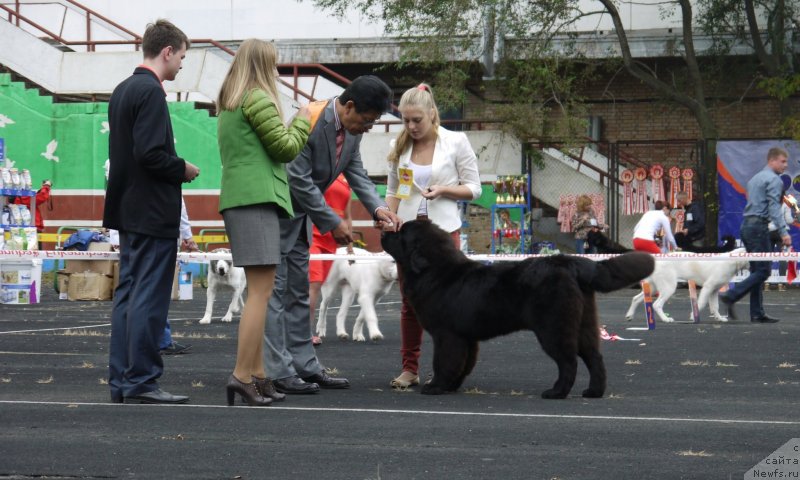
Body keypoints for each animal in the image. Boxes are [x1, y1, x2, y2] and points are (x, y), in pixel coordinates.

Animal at [382, 222, 656, 402]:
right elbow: (463, 363)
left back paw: (556, 392)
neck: (434, 271)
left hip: (553, 328)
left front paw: (436, 386)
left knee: (568, 361)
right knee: (594, 357)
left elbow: (444, 361)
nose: (383, 230)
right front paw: (451, 386)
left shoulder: (446, 335)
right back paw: (593, 392)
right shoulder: (466, 337)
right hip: (585, 324)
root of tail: (569, 262)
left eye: (401, 232)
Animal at [624, 248, 752, 322]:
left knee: (636, 298)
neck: (730, 262)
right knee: (656, 304)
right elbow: (701, 303)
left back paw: (629, 315)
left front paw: (719, 318)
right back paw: (666, 319)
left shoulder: (714, 290)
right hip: (668, 287)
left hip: (653, 287)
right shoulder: (708, 287)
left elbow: (715, 306)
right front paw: (693, 316)